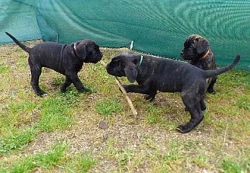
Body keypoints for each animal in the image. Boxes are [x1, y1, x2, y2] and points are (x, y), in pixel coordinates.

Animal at [106, 52, 240, 134]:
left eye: (116, 64)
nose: (106, 67)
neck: (139, 63)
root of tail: (203, 73)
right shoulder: (152, 87)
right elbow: (153, 92)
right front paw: (149, 98)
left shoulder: (145, 86)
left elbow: (134, 86)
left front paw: (124, 87)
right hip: (196, 94)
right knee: (202, 105)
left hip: (187, 96)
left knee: (198, 115)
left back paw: (186, 128)